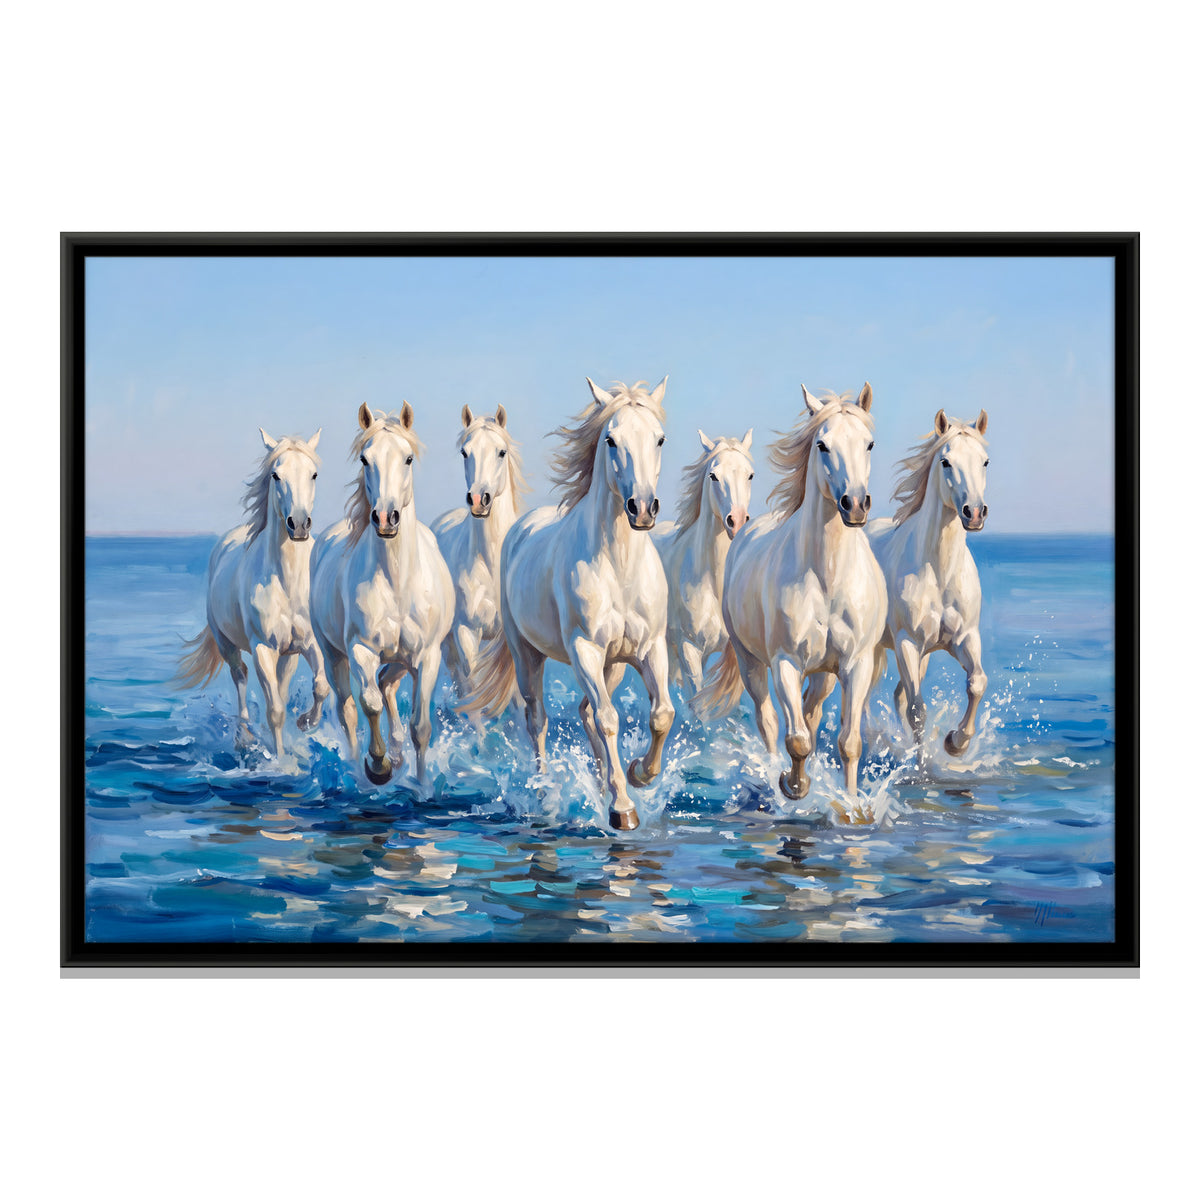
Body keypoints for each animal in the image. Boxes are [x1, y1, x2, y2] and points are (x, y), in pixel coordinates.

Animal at [175, 428, 329, 759]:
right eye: (276, 475)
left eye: (313, 474)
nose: (299, 524)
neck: (289, 581)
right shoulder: (263, 649)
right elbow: (275, 712)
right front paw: (281, 762)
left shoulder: (309, 644)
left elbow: (320, 687)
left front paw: (306, 723)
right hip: (228, 645)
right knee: (240, 676)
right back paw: (243, 737)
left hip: (288, 655)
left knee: (280, 686)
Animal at [310, 402, 454, 785]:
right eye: (365, 459)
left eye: (408, 458)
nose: (386, 518)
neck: (398, 582)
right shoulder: (361, 650)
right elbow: (369, 703)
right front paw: (378, 766)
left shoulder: (427, 657)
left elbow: (421, 726)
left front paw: (422, 786)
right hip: (333, 654)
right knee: (348, 708)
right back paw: (362, 770)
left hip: (403, 659)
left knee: (388, 684)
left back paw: (399, 753)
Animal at [463, 378, 675, 831]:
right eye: (611, 440)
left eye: (659, 439)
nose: (642, 509)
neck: (620, 567)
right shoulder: (585, 650)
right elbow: (610, 720)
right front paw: (623, 808)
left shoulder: (651, 648)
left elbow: (661, 713)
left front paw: (639, 775)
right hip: (529, 656)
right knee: (539, 720)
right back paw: (545, 793)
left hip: (614, 664)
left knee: (585, 711)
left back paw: (603, 782)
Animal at [695, 384, 886, 814]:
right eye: (822, 445)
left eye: (869, 443)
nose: (855, 504)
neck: (827, 577)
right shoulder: (785, 663)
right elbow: (796, 739)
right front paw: (792, 786)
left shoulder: (856, 665)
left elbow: (848, 742)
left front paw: (852, 807)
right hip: (751, 662)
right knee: (768, 720)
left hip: (824, 675)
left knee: (811, 714)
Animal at [868, 408, 990, 761]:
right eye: (946, 461)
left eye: (985, 461)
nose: (974, 513)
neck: (940, 572)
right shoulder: (908, 644)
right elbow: (917, 711)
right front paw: (923, 766)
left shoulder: (965, 638)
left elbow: (977, 682)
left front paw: (955, 742)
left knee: (896, 696)